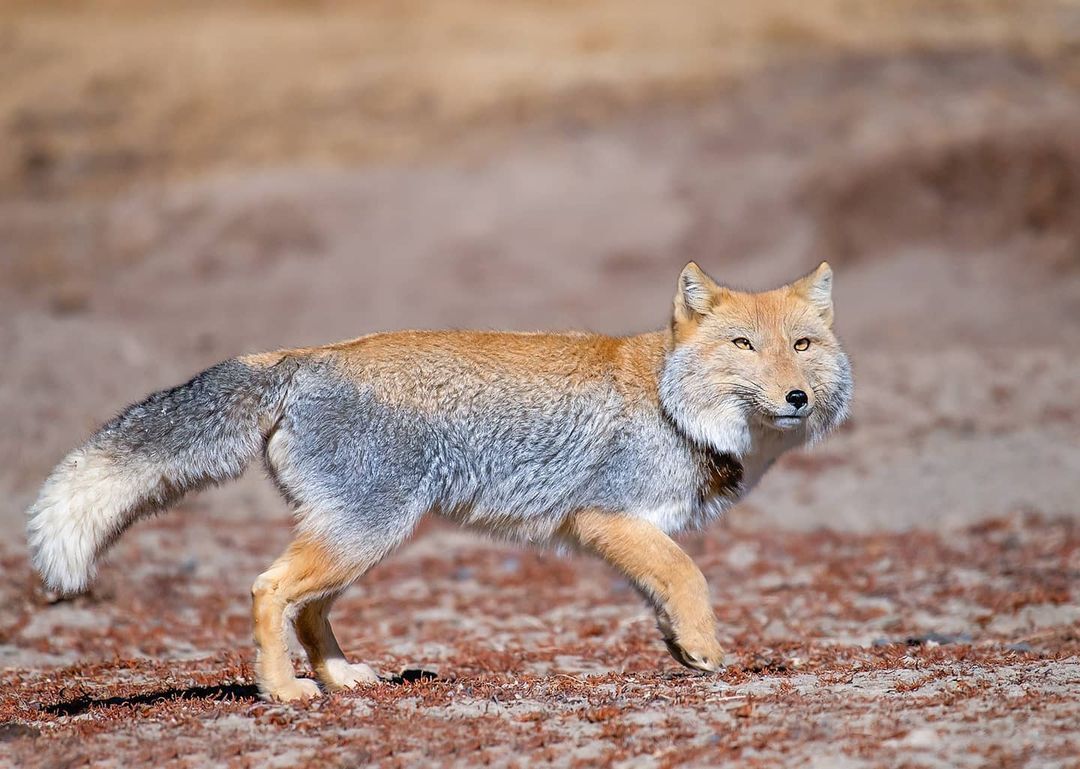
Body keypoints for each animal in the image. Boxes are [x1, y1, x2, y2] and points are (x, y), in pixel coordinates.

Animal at [23, 261, 851, 699]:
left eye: (802, 346)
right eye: (743, 346)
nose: (796, 398)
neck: (670, 401)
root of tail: (303, 355)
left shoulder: (635, 531)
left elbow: (663, 592)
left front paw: (683, 647)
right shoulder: (605, 517)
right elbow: (689, 577)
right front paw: (707, 647)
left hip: (361, 540)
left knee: (307, 609)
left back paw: (341, 677)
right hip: (363, 535)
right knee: (268, 589)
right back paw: (284, 689)